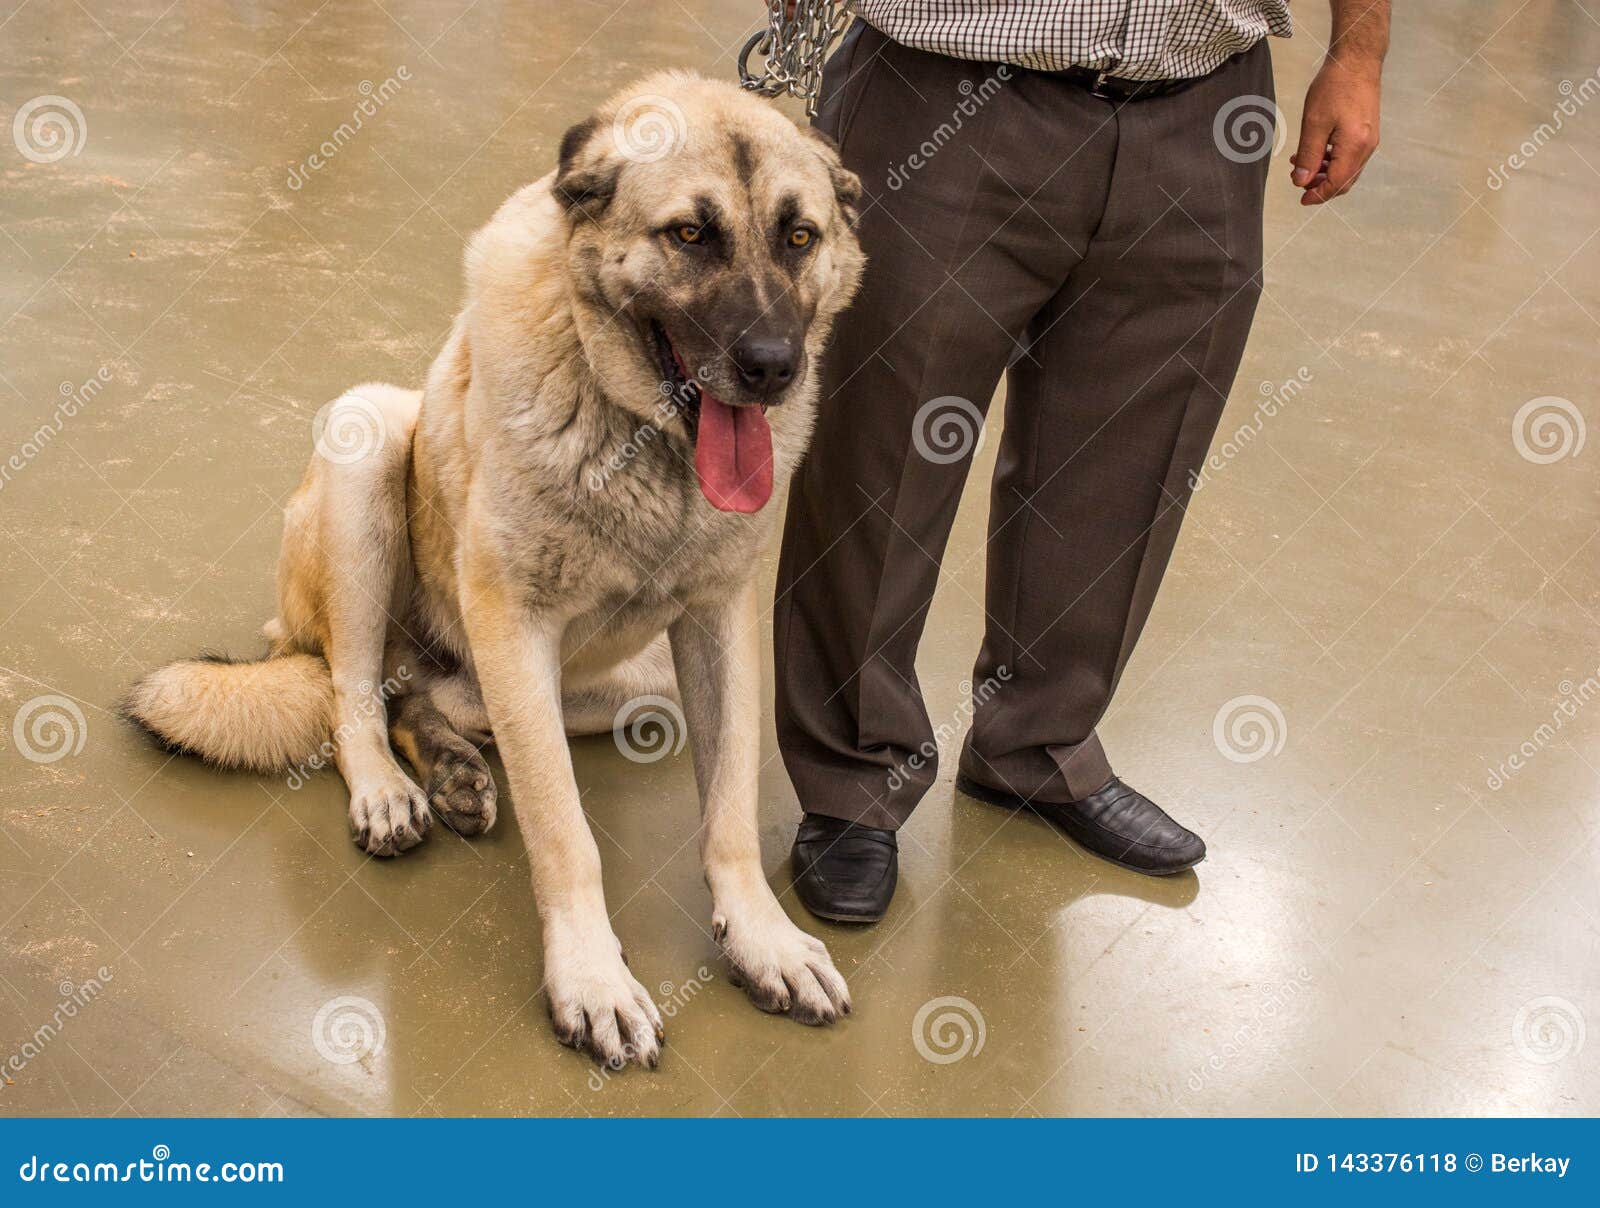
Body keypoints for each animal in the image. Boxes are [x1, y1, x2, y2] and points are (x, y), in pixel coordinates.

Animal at [128, 73, 864, 1068]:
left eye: (799, 236)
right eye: (688, 234)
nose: (772, 368)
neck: (643, 440)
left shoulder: (715, 625)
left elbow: (731, 812)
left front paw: (761, 938)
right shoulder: (516, 625)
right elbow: (564, 829)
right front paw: (592, 980)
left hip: (629, 686)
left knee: (421, 698)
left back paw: (453, 769)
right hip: (368, 439)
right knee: (351, 698)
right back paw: (392, 790)